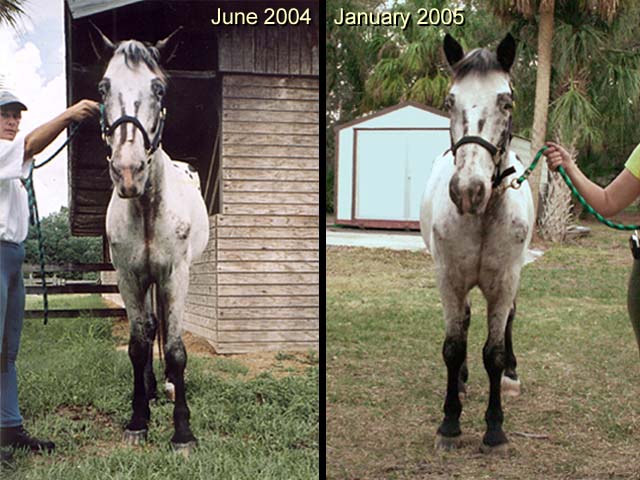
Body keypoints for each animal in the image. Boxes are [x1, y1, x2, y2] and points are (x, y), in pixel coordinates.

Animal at [94, 26, 209, 454]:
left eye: (159, 88)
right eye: (104, 86)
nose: (129, 171)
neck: (145, 209)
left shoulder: (175, 275)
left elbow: (175, 349)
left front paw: (183, 432)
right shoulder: (130, 278)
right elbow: (138, 344)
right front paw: (138, 418)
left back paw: (171, 387)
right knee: (149, 327)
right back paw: (154, 390)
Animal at [420, 33, 536, 454]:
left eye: (506, 101)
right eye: (449, 101)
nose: (468, 190)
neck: (482, 217)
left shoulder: (503, 282)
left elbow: (495, 352)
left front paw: (495, 430)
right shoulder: (450, 279)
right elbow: (453, 347)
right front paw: (450, 423)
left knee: (510, 321)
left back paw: (513, 377)